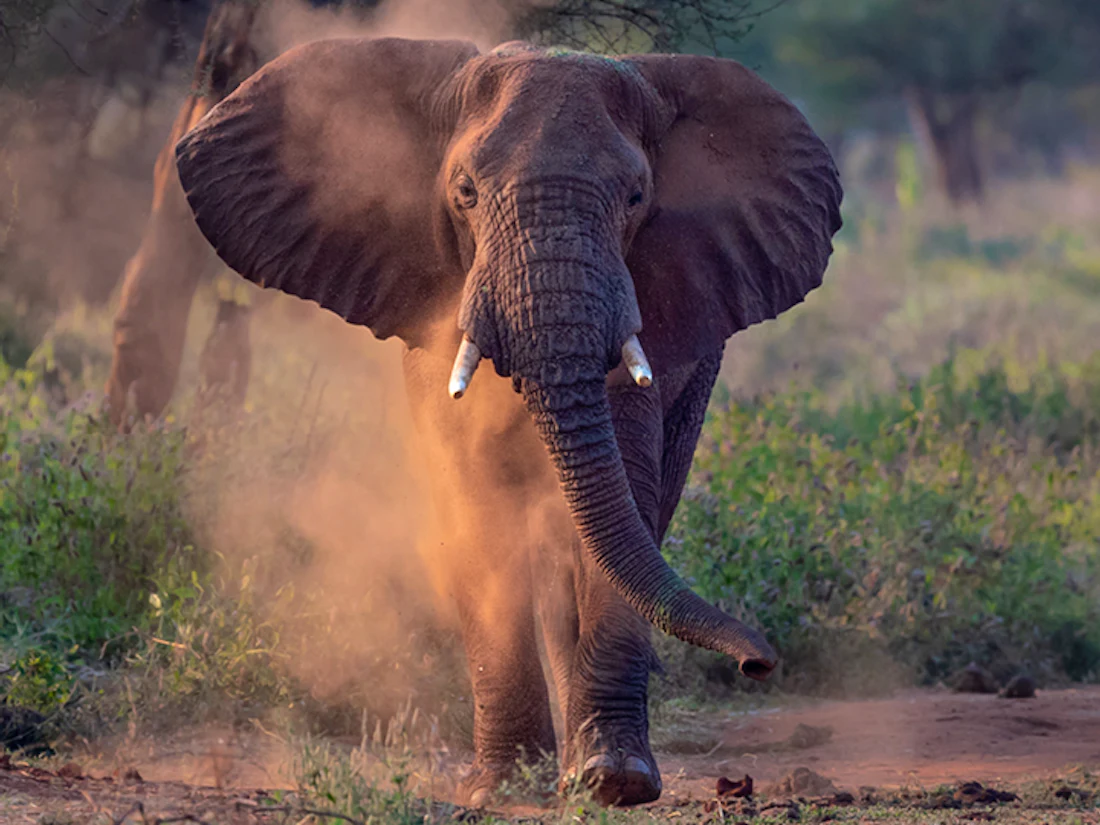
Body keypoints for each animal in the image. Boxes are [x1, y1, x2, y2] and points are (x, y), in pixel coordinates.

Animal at [174, 37, 842, 806]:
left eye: (636, 197)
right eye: (464, 192)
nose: (759, 663)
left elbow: (624, 498)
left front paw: (614, 781)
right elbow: (474, 508)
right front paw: (501, 786)